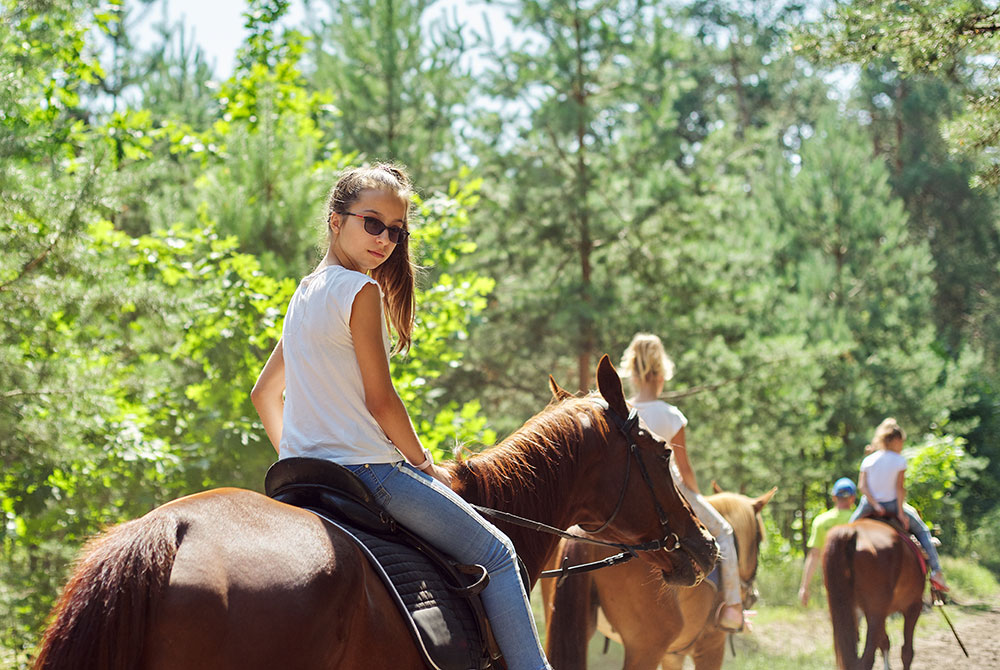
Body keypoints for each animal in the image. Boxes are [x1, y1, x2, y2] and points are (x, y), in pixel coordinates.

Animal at [824, 520, 924, 670]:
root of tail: (853, 532)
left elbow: (884, 643)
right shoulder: (913, 606)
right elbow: (906, 652)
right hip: (877, 612)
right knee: (867, 660)